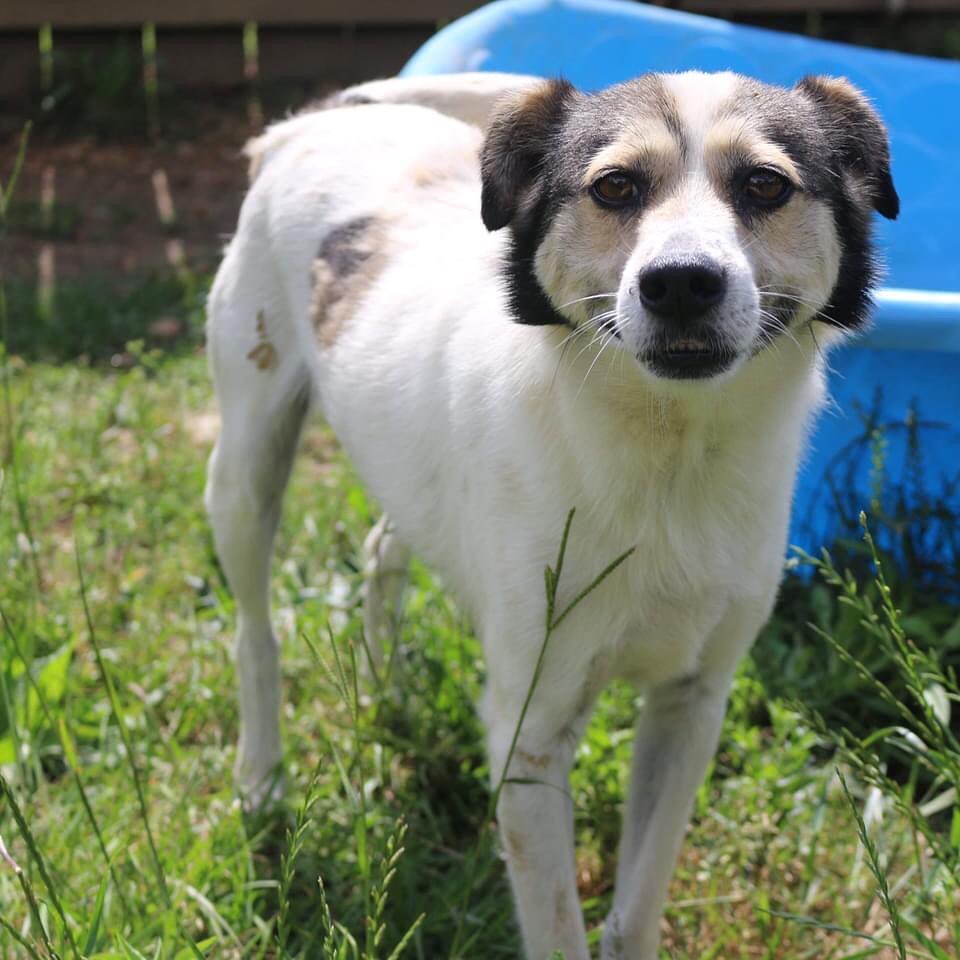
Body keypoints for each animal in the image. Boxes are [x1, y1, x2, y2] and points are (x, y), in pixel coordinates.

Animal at [204, 69, 900, 960]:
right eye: (615, 186)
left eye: (766, 185)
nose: (680, 282)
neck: (669, 460)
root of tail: (308, 124)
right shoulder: (529, 738)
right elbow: (558, 926)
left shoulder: (692, 704)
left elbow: (638, 902)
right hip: (246, 466)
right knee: (254, 632)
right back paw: (261, 779)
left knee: (383, 540)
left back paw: (388, 686)